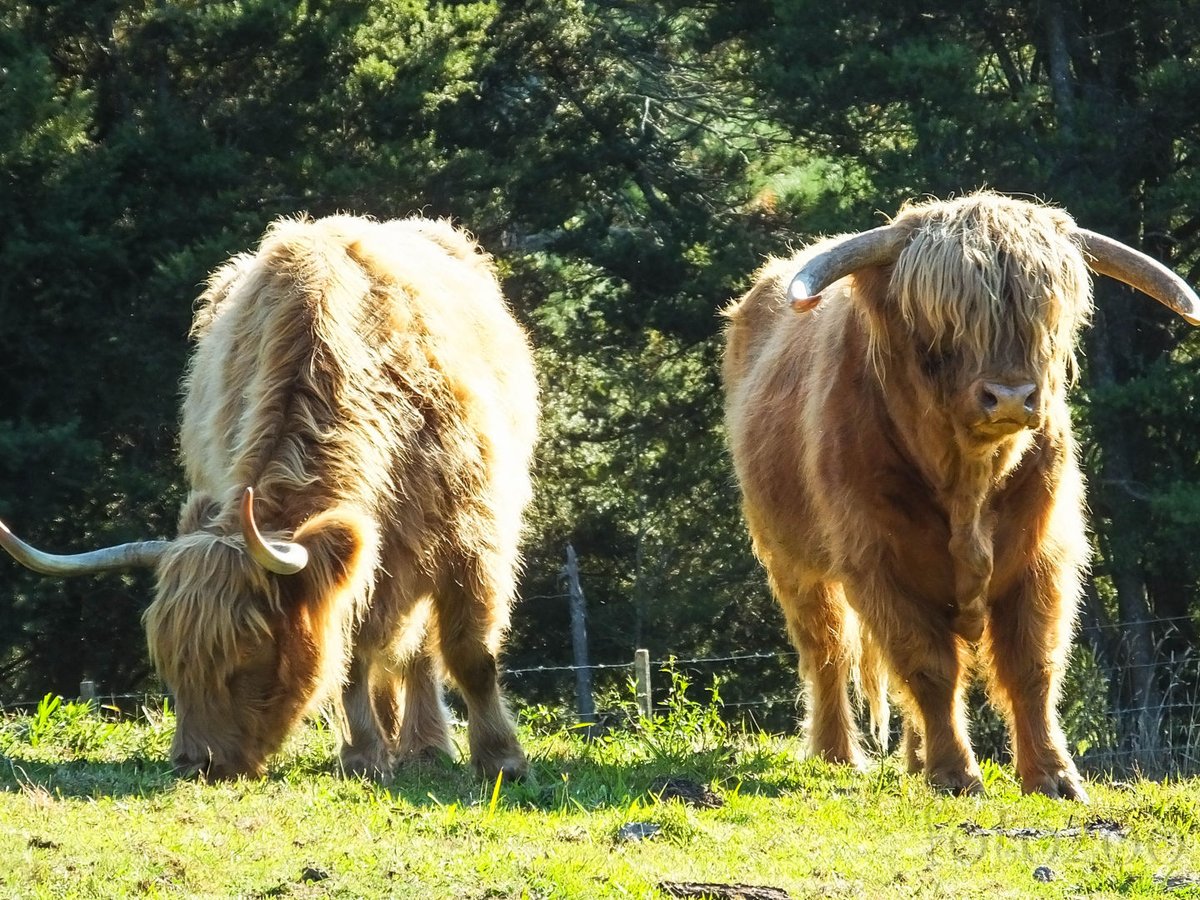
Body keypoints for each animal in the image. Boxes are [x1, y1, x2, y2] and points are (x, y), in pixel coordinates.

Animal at [0, 217, 535, 782]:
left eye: (248, 651)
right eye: (170, 662)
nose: (195, 762)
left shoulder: (472, 536)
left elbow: (470, 654)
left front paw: (502, 758)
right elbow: (349, 655)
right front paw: (364, 755)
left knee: (417, 650)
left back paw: (428, 747)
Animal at [720, 192, 1200, 801]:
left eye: (1042, 317)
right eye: (944, 324)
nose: (1011, 397)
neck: (969, 482)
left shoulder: (1042, 556)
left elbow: (1032, 665)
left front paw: (1054, 777)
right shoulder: (879, 563)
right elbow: (928, 666)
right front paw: (954, 775)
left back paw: (912, 759)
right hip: (791, 559)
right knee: (826, 647)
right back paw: (838, 756)